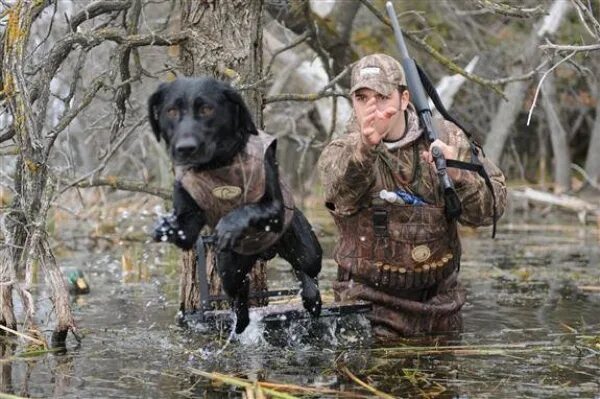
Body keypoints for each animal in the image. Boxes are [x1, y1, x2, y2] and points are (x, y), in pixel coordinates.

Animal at [147, 78, 322, 334]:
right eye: (171, 111)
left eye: (207, 109)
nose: (185, 148)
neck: (218, 164)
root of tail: (266, 251)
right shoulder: (189, 217)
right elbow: (184, 228)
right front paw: (164, 227)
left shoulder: (275, 208)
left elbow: (247, 209)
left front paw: (228, 226)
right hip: (230, 265)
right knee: (239, 289)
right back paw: (241, 320)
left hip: (304, 246)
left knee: (306, 267)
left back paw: (311, 296)